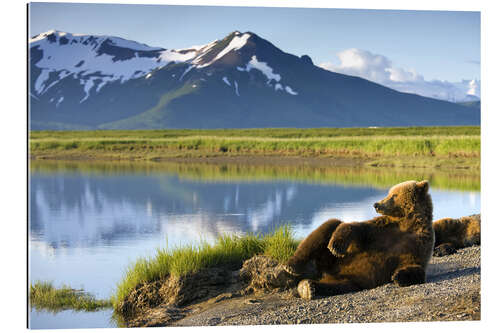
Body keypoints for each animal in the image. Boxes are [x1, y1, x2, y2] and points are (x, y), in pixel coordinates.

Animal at [286, 180, 434, 300]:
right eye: (389, 193)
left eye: (394, 195)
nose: (376, 204)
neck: (406, 223)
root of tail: (326, 273)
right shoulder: (381, 229)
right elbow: (357, 228)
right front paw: (336, 246)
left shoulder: (418, 242)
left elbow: (414, 265)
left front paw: (398, 276)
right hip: (331, 260)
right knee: (329, 225)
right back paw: (292, 266)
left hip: (350, 279)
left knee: (337, 286)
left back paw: (308, 287)